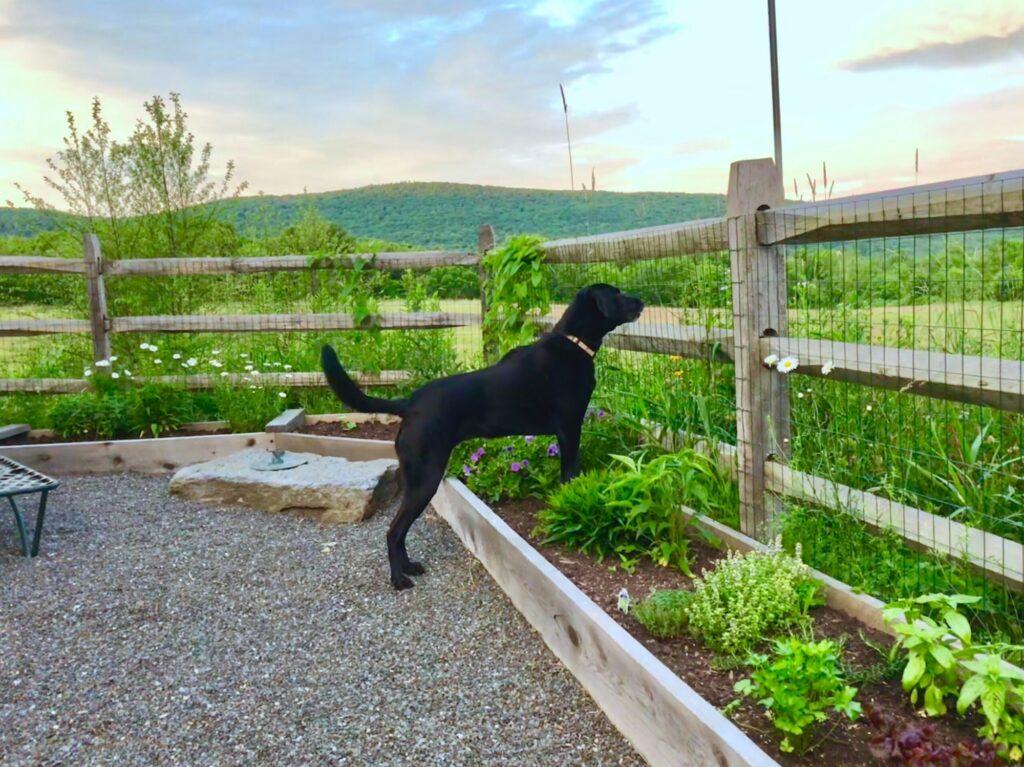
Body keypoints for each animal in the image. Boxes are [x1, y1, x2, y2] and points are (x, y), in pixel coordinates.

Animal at [319, 284, 643, 589]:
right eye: (616, 294)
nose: (641, 301)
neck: (574, 342)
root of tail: (409, 404)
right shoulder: (570, 430)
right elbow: (570, 475)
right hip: (426, 478)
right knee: (393, 531)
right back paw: (399, 579)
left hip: (414, 478)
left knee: (398, 532)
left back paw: (409, 567)